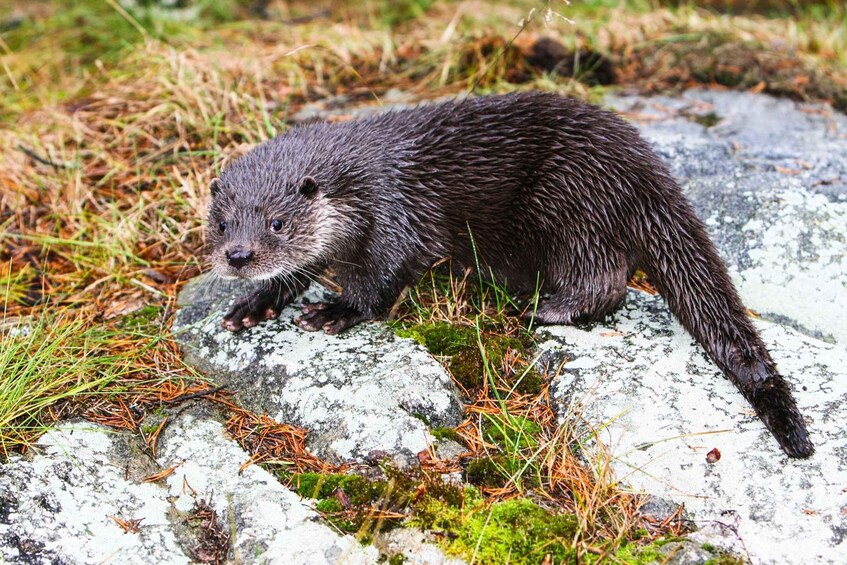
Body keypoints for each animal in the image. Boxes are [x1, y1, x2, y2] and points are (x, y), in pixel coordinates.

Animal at [204, 89, 816, 458]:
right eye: (221, 222)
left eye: (278, 222)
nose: (237, 256)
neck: (361, 183)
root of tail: (648, 169)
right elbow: (297, 273)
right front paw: (253, 305)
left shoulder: (395, 214)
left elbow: (383, 278)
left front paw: (335, 310)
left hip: (569, 202)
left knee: (606, 283)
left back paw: (543, 309)